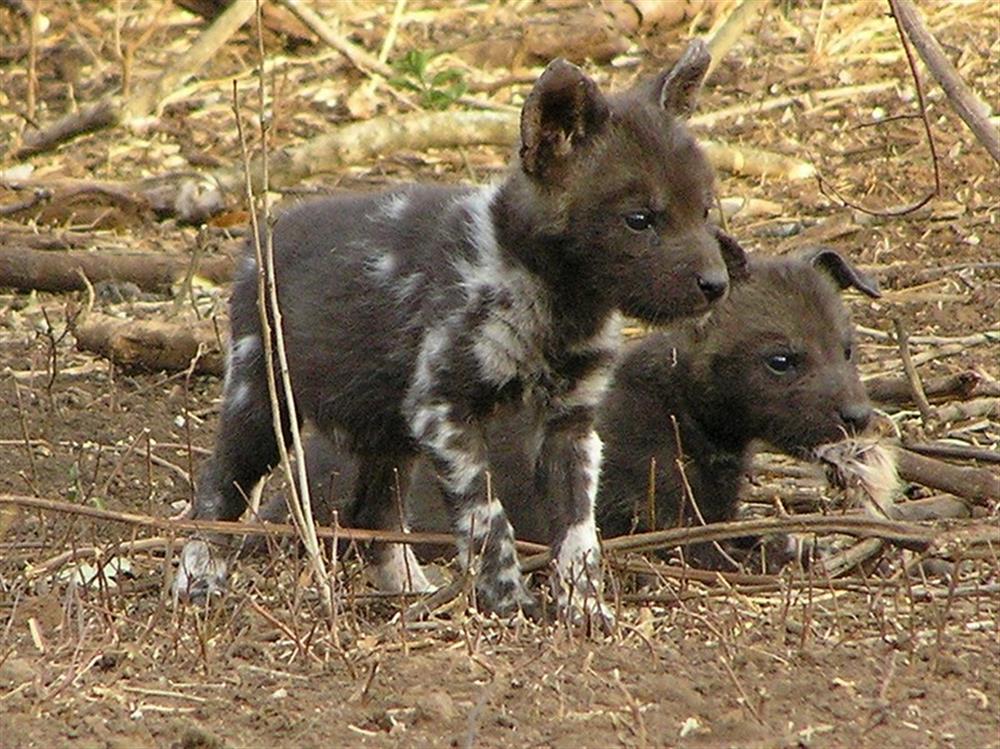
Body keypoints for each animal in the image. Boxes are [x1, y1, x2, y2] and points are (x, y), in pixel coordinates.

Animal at [178, 41, 736, 624]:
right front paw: (509, 600)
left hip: (388, 435)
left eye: (703, 210)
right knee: (216, 490)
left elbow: (579, 534)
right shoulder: (445, 412)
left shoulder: (570, 424)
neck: (558, 304)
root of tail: (260, 238)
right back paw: (199, 584)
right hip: (261, 401)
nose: (716, 284)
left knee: (376, 512)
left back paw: (409, 591)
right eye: (639, 219)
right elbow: (488, 519)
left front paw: (584, 608)